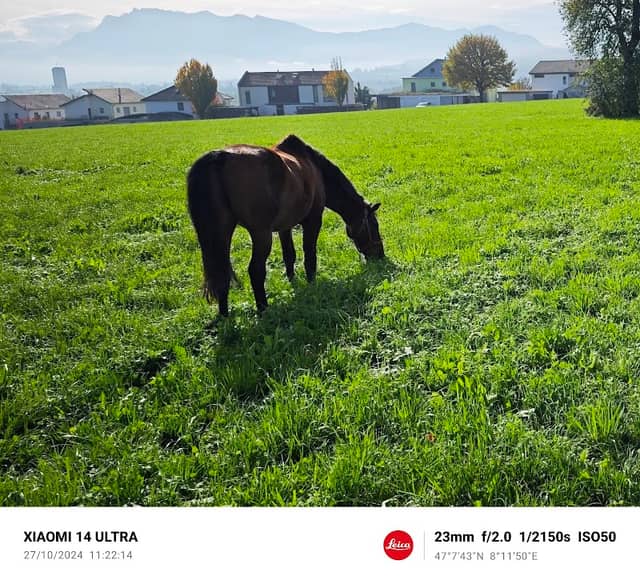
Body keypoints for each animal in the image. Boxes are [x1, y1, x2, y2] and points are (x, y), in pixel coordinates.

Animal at [187, 134, 384, 316]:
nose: (380, 256)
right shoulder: (313, 221)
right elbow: (309, 255)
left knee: (222, 273)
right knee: (255, 270)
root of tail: (219, 158)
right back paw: (263, 310)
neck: (314, 169)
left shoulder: (284, 227)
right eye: (374, 226)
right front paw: (312, 285)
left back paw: (224, 315)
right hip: (261, 234)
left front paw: (292, 280)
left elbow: (289, 255)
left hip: (223, 232)